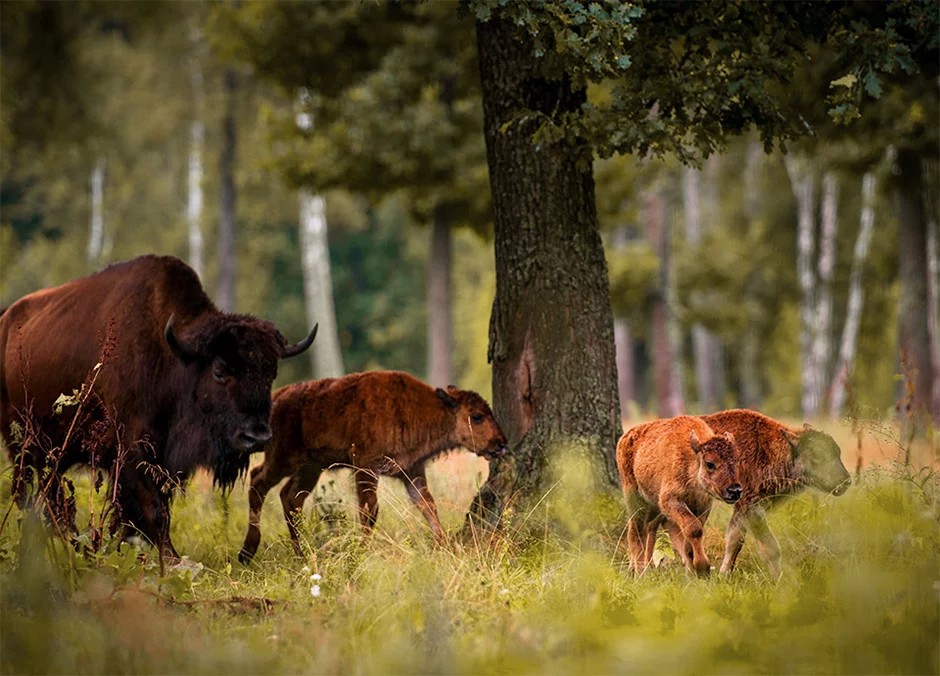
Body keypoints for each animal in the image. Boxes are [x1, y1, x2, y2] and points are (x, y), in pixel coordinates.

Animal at [0, 254, 318, 556]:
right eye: (219, 370)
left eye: (271, 373)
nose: (257, 436)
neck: (173, 359)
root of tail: (7, 321)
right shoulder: (132, 452)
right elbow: (152, 510)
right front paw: (171, 559)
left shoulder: (162, 461)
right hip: (23, 446)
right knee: (30, 494)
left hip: (54, 453)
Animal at [239, 370, 510, 560]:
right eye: (476, 416)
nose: (501, 443)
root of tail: (278, 397)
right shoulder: (366, 467)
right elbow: (370, 510)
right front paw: (361, 551)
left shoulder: (412, 472)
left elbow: (428, 506)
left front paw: (444, 546)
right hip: (283, 459)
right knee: (258, 481)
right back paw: (248, 551)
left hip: (311, 467)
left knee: (291, 498)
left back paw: (302, 553)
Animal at [616, 414, 740, 580]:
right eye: (710, 463)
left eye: (737, 461)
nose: (735, 490)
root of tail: (625, 437)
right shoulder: (670, 500)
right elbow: (694, 529)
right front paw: (702, 567)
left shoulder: (702, 506)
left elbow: (690, 537)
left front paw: (694, 571)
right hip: (634, 496)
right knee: (636, 530)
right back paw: (640, 573)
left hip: (654, 505)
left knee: (650, 527)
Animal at [696, 406, 852, 576]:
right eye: (817, 456)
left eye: (838, 452)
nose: (845, 482)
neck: (769, 449)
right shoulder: (752, 507)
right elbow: (771, 548)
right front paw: (779, 579)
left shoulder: (742, 509)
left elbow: (734, 540)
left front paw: (724, 574)